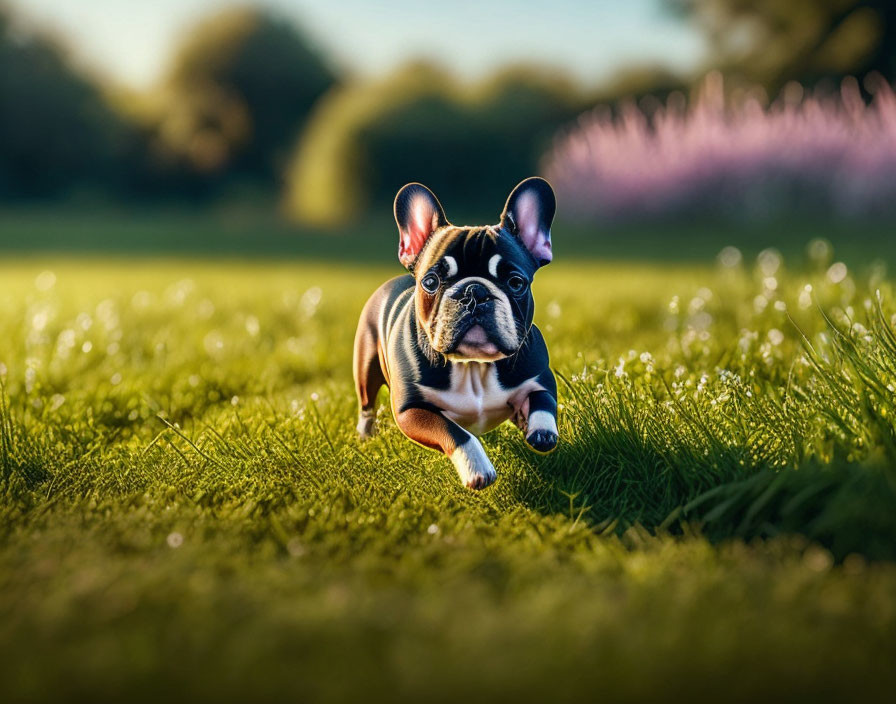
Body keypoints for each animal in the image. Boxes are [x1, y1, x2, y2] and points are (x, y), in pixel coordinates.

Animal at [352, 177, 556, 490]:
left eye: (516, 282)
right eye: (431, 281)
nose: (474, 291)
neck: (473, 365)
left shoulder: (540, 377)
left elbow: (543, 400)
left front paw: (541, 430)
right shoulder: (411, 410)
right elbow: (456, 432)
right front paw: (477, 468)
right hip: (366, 367)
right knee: (367, 404)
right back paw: (365, 436)